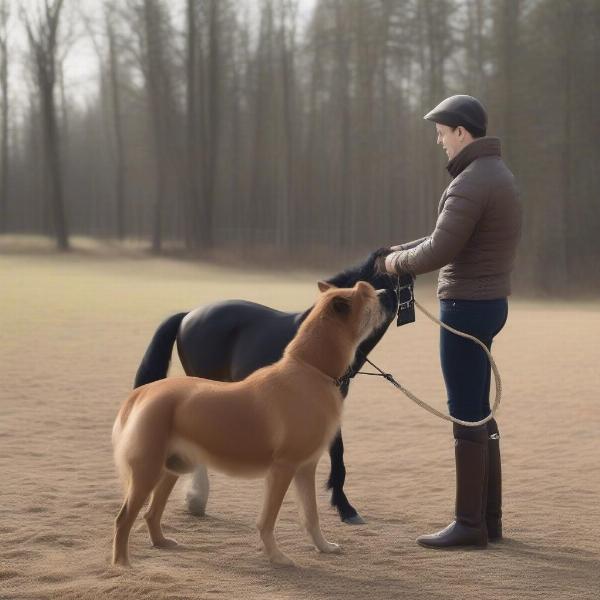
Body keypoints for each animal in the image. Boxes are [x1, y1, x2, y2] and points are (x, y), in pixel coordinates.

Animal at [110, 278, 386, 564]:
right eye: (366, 292)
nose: (387, 293)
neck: (310, 368)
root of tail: (145, 392)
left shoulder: (305, 468)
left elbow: (311, 516)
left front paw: (323, 547)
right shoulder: (283, 468)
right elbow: (267, 521)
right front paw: (277, 557)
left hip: (172, 467)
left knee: (150, 513)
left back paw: (161, 542)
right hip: (147, 471)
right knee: (123, 519)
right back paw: (122, 565)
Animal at [134, 246, 400, 524]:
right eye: (377, 283)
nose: (391, 295)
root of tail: (188, 315)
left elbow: (336, 451)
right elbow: (334, 451)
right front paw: (345, 508)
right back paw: (196, 498)